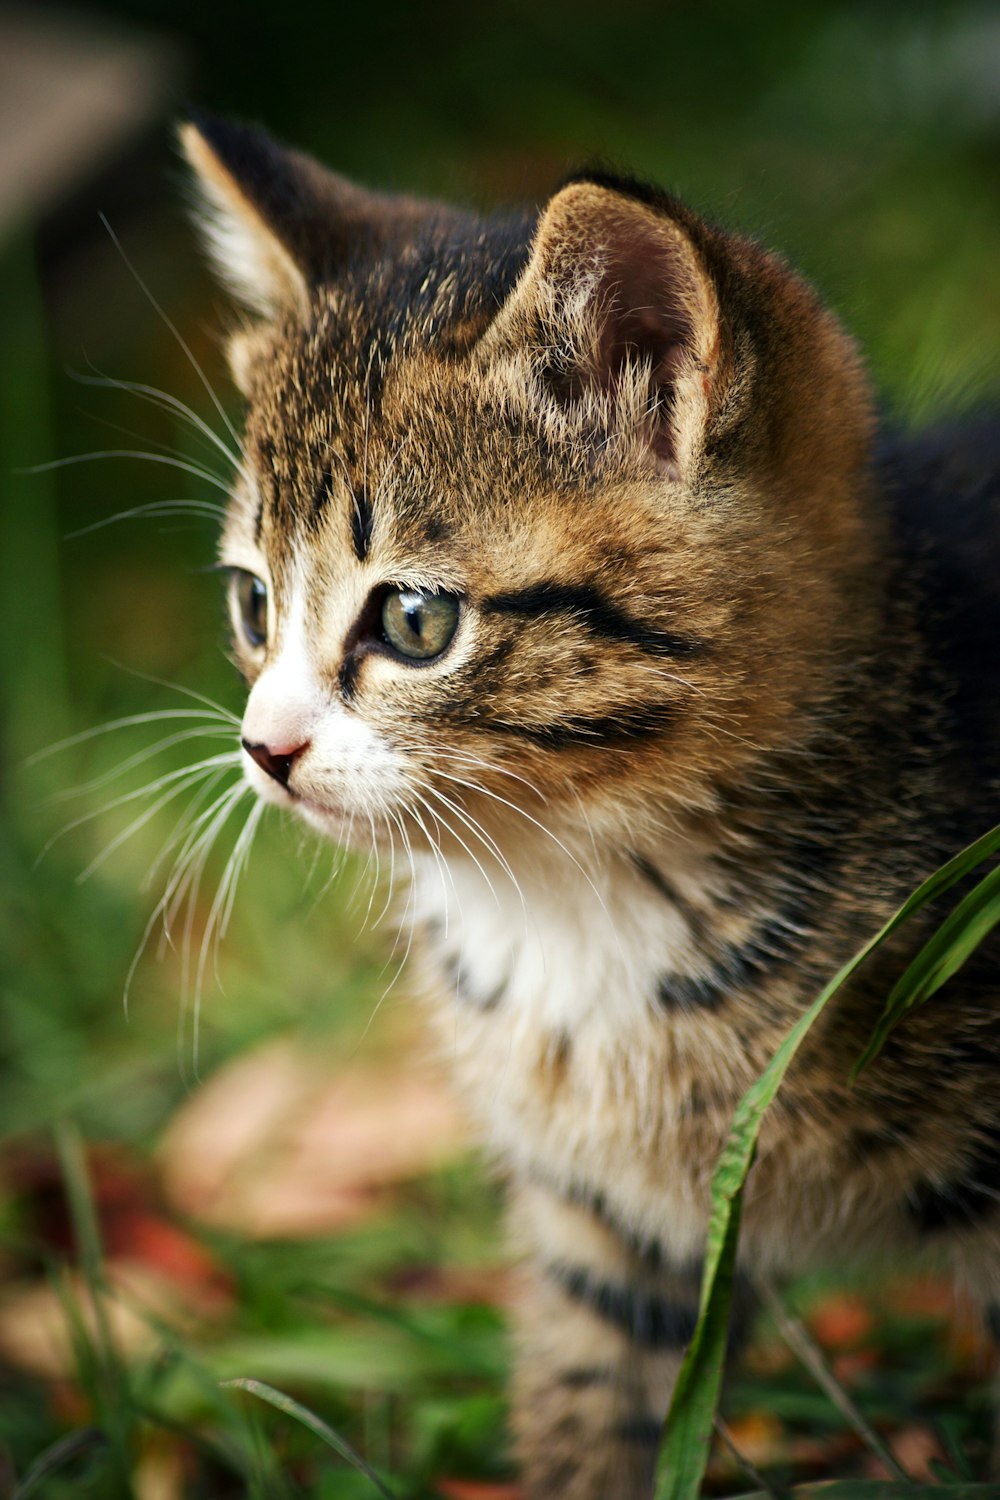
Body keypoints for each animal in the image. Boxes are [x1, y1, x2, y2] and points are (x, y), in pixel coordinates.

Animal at [177, 111, 1000, 1494]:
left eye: (413, 621)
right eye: (252, 605)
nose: (264, 746)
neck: (578, 903)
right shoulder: (601, 1224)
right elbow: (588, 1397)